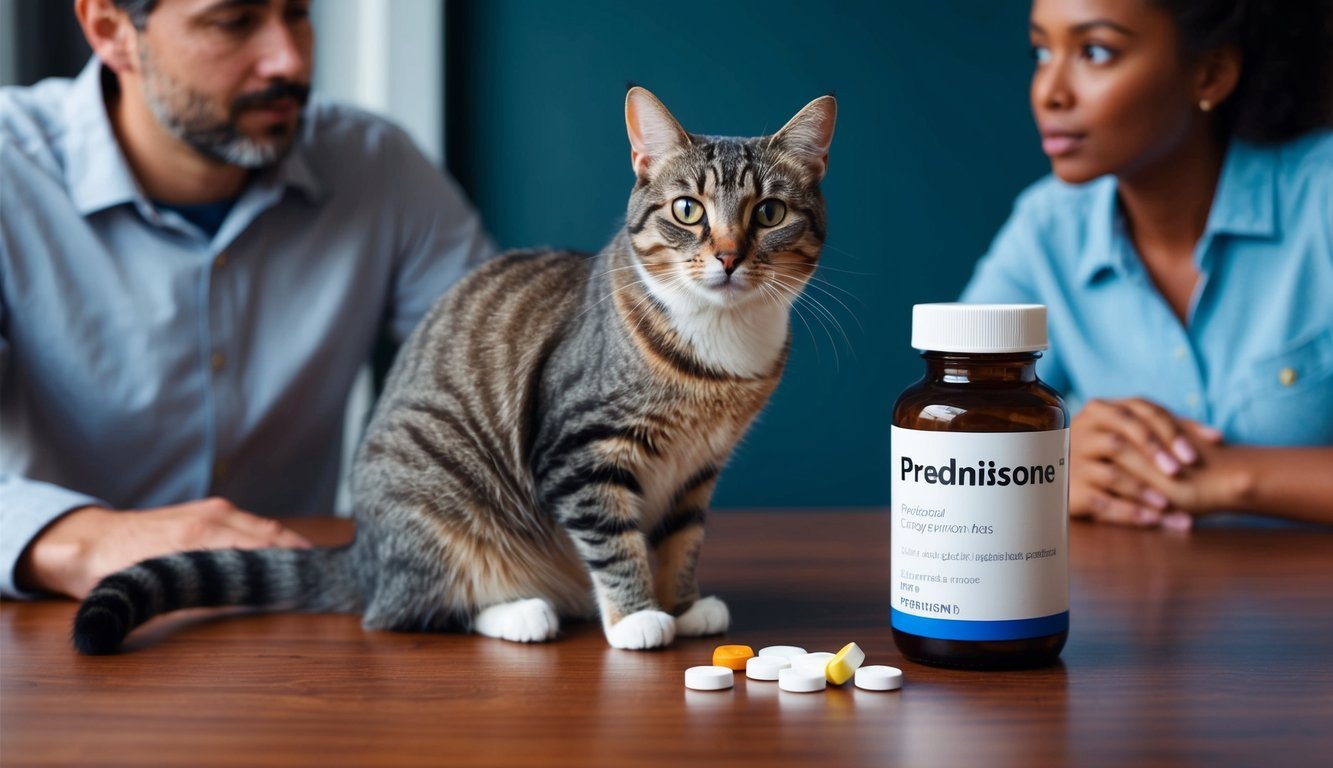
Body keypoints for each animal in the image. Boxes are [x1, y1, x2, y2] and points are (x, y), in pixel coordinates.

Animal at [70, 85, 831, 653]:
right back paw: (521, 611)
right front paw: (640, 617)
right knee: (405, 610)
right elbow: (616, 542)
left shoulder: (698, 468)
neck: (720, 348)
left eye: (768, 212)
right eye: (686, 210)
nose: (728, 256)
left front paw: (683, 604)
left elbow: (680, 538)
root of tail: (366, 552)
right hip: (440, 502)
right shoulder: (581, 449)